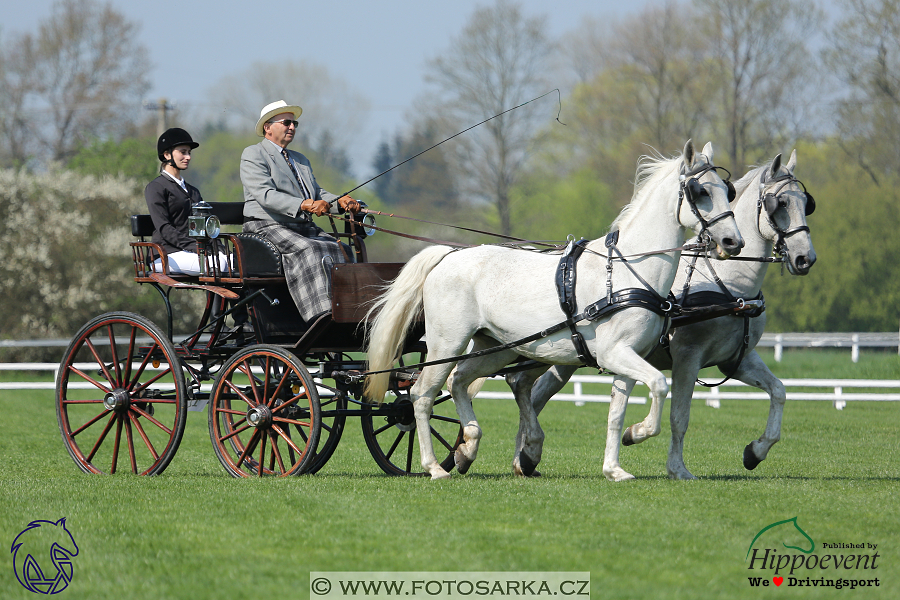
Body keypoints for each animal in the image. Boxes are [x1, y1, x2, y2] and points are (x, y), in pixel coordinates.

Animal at [366, 139, 744, 478]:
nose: (733, 242)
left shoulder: (627, 357)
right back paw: (433, 466)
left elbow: (617, 413)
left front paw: (614, 467)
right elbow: (660, 385)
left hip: (496, 348)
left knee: (459, 381)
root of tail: (449, 255)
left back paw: (469, 446)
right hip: (447, 344)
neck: (626, 270)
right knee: (422, 395)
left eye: (727, 191)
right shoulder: (613, 353)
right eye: (701, 192)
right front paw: (638, 434)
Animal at [512, 151, 816, 482]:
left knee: (529, 391)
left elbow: (779, 392)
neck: (728, 285)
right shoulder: (688, 356)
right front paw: (670, 463)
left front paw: (755, 452)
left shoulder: (736, 359)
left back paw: (524, 457)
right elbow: (679, 416)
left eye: (806, 203)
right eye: (780, 203)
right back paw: (524, 453)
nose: (805, 258)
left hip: (561, 357)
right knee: (523, 386)